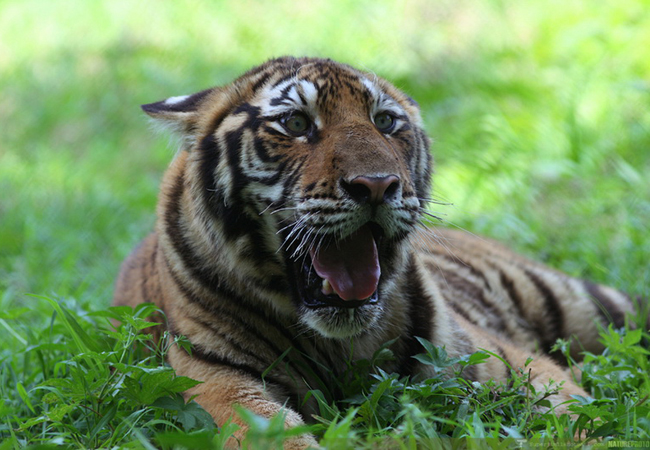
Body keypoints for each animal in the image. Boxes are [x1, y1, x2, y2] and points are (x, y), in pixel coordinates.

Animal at [114, 56, 640, 446]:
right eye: (296, 123)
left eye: (386, 122)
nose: (376, 185)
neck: (342, 345)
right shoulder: (219, 382)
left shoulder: (514, 364)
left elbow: (577, 418)